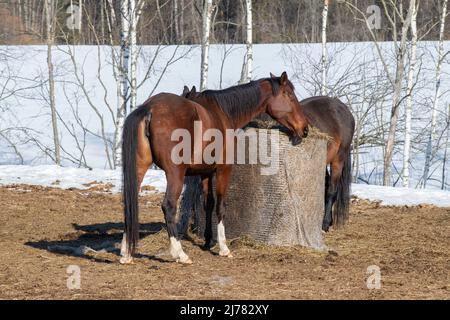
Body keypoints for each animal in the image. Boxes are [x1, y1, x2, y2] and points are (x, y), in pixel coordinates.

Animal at [120, 72, 310, 264]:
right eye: (290, 95)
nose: (305, 129)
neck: (223, 114)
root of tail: (150, 108)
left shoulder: (204, 172)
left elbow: (208, 204)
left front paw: (207, 241)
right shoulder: (223, 170)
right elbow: (220, 205)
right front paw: (223, 247)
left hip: (140, 169)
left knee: (130, 202)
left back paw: (126, 252)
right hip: (175, 174)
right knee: (169, 206)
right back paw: (180, 253)